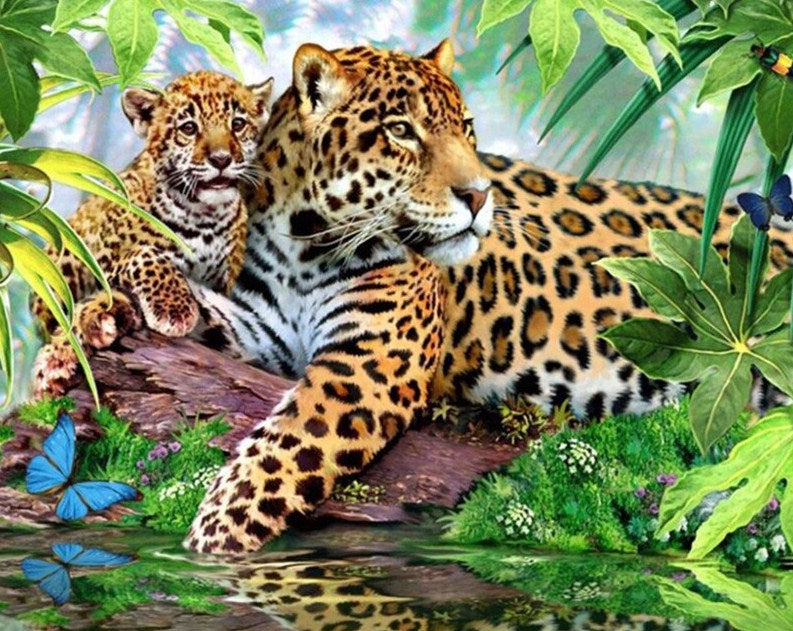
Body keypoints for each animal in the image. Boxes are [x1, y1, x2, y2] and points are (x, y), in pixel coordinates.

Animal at [31, 70, 273, 396]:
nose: (222, 159)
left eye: (238, 124)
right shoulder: (100, 263)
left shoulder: (224, 284)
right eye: (188, 128)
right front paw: (175, 309)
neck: (203, 216)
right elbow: (144, 254)